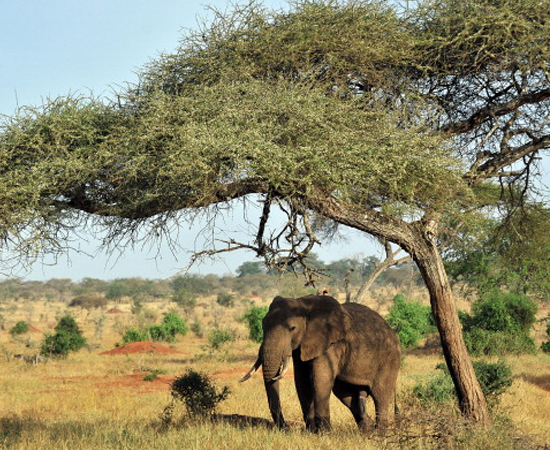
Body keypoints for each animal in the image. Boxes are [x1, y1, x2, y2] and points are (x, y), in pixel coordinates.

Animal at [242, 296, 402, 432]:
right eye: (263, 326)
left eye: (292, 328)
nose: (284, 428)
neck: (303, 304)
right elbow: (302, 381)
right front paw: (311, 432)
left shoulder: (330, 343)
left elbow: (320, 379)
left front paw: (324, 433)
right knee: (346, 394)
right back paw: (367, 431)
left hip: (389, 359)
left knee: (380, 395)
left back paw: (379, 434)